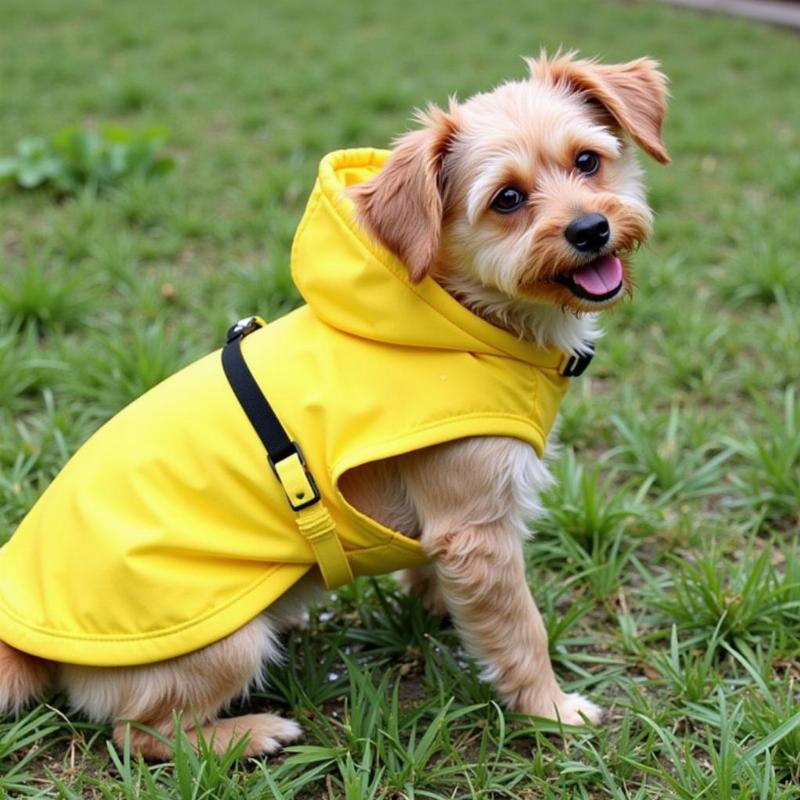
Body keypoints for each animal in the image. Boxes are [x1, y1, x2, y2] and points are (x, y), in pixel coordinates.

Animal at [0, 53, 668, 760]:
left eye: (588, 161)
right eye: (507, 199)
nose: (591, 229)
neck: (463, 317)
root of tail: (23, 640)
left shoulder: (450, 534)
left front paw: (439, 608)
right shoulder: (478, 528)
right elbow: (521, 630)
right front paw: (552, 710)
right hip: (225, 642)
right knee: (142, 733)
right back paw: (250, 732)